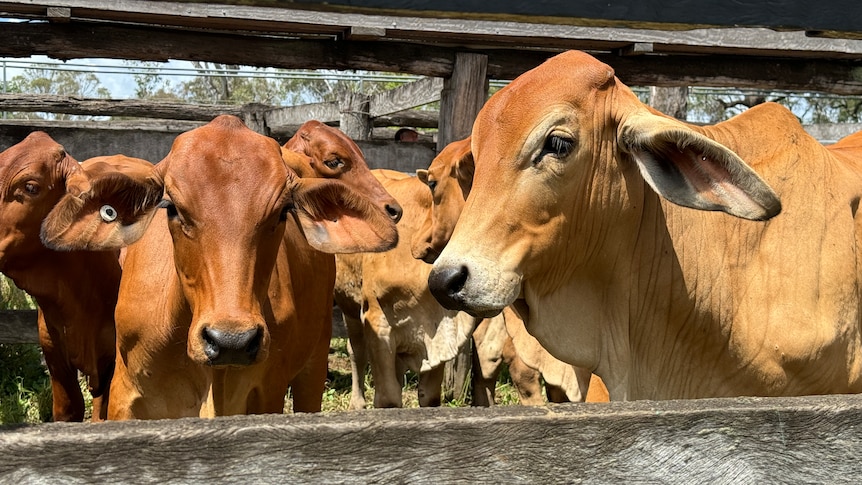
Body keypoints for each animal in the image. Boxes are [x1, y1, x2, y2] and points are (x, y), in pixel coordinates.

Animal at [40, 115, 398, 418]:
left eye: (282, 212)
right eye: (172, 207)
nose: (231, 341)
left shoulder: (266, 394)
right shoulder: (124, 395)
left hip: (314, 362)